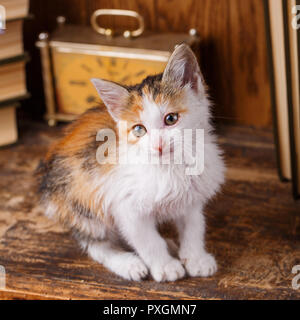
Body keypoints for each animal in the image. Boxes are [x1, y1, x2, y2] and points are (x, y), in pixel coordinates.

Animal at [36, 43, 224, 282]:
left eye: (171, 119)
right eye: (139, 129)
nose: (158, 145)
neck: (171, 166)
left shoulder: (192, 196)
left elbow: (193, 227)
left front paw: (196, 258)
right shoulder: (125, 206)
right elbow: (148, 241)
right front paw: (165, 267)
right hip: (81, 204)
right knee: (96, 244)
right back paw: (127, 263)